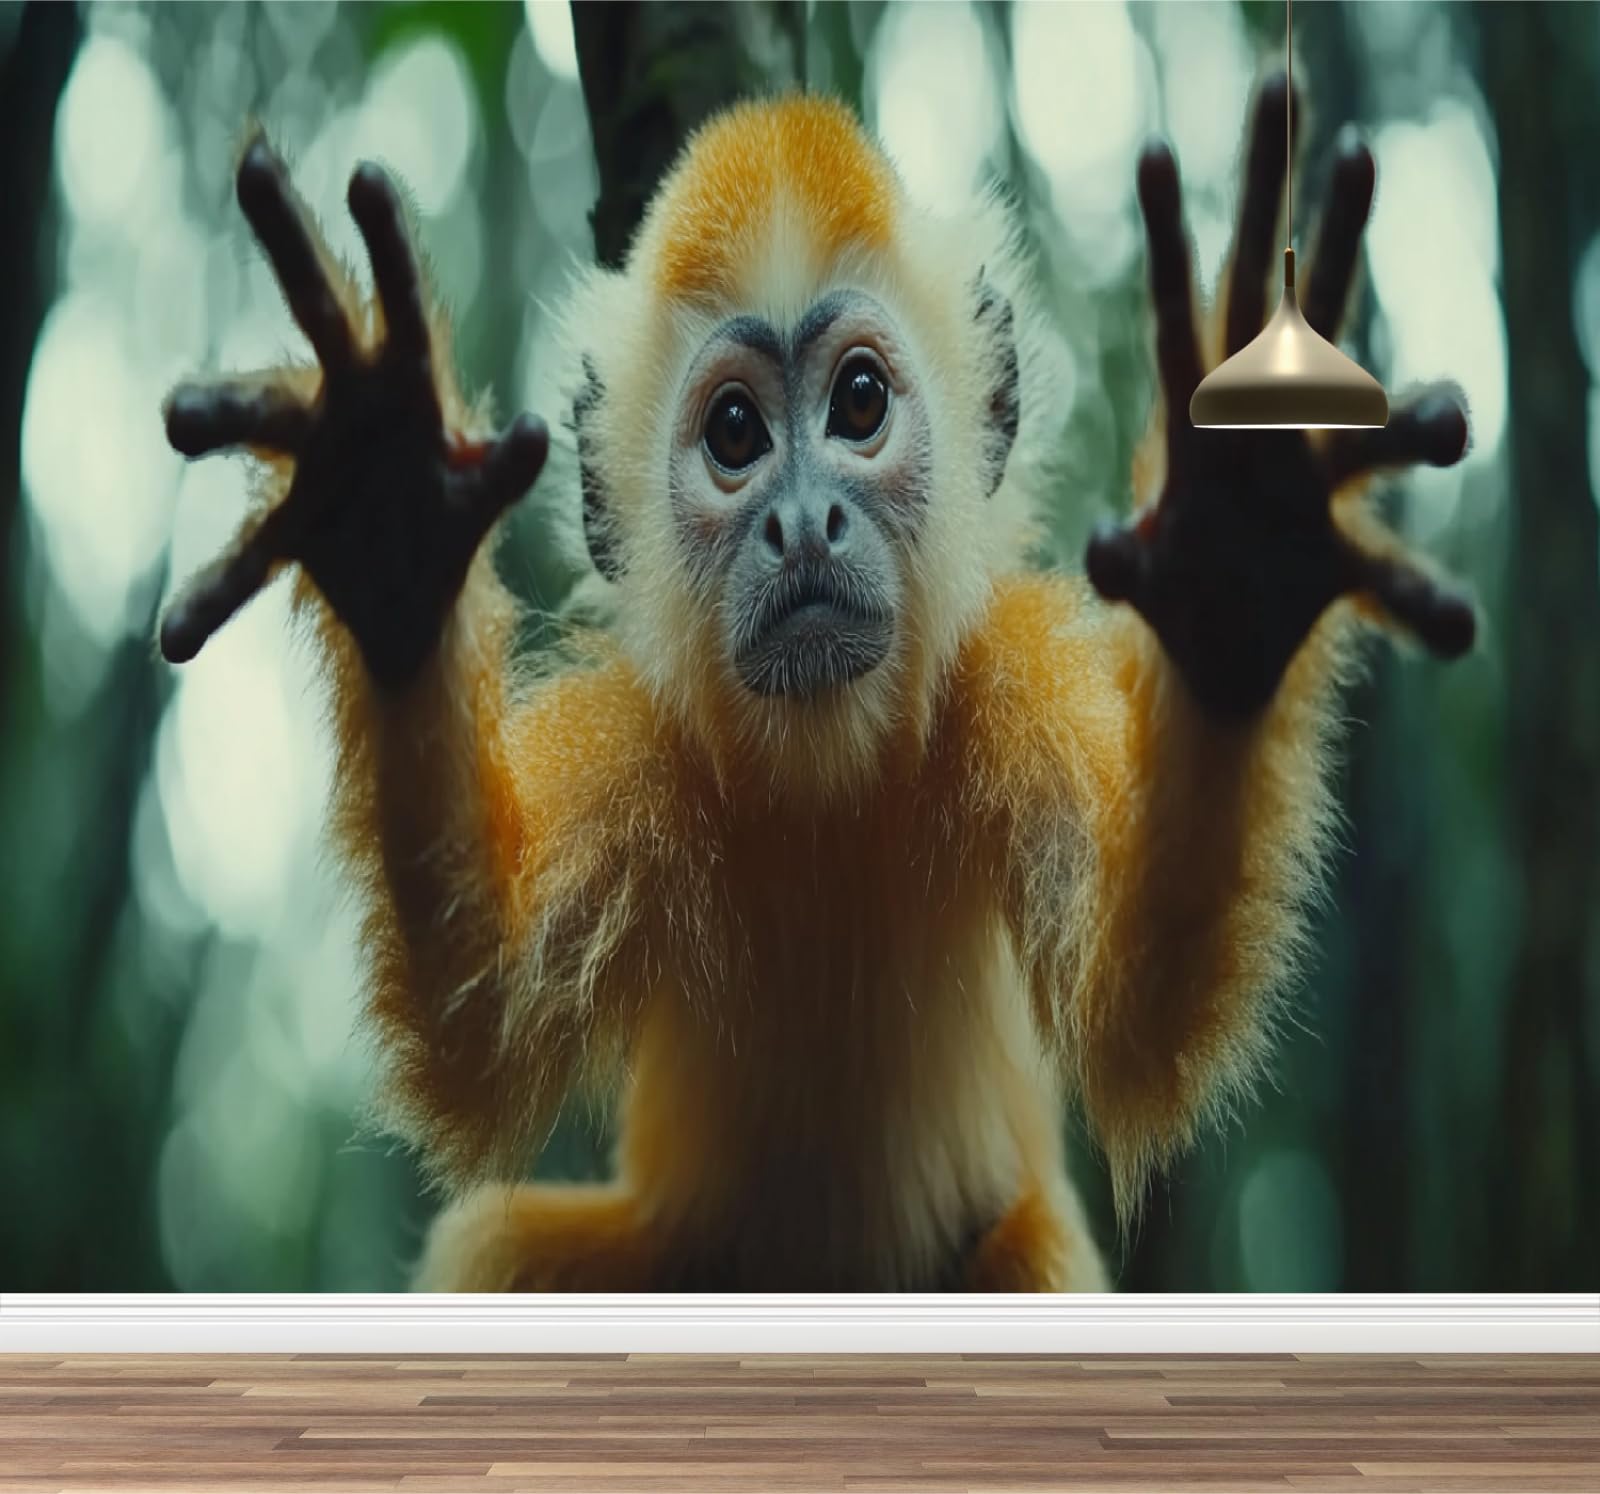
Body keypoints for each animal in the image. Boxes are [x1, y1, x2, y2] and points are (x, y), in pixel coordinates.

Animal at [158, 80, 1477, 1292]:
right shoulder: (639, 749)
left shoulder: (1002, 681)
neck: (827, 779)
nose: (800, 524)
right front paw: (385, 518)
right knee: (497, 1248)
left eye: (858, 404)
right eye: (736, 434)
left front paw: (1239, 548)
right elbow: (482, 1028)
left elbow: (1134, 1016)